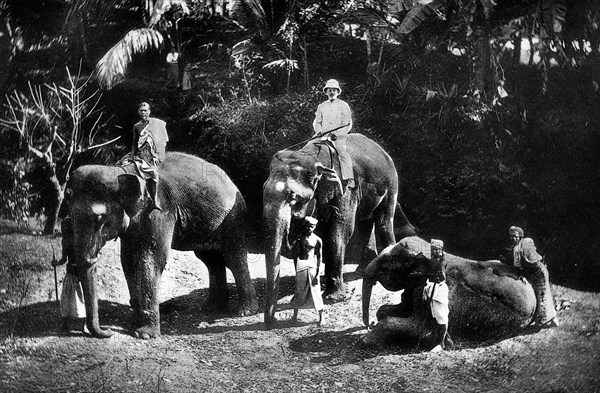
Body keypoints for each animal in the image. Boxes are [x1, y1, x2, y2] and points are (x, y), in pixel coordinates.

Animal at [67, 152, 258, 338]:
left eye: (99, 218)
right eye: (69, 217)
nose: (108, 332)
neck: (121, 171)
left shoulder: (158, 211)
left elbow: (151, 259)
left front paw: (144, 334)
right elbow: (128, 260)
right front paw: (133, 323)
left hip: (234, 218)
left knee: (234, 257)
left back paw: (245, 311)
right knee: (210, 260)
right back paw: (212, 308)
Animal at [264, 133, 414, 324]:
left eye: (293, 197)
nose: (272, 322)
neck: (311, 156)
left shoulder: (345, 188)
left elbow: (339, 231)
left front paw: (332, 298)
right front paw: (297, 298)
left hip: (391, 184)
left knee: (384, 220)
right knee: (366, 221)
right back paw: (362, 270)